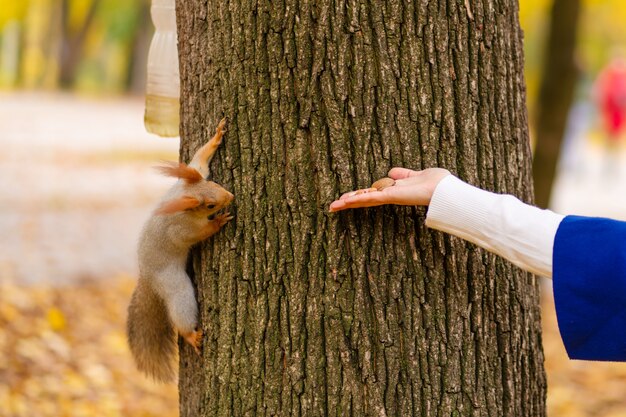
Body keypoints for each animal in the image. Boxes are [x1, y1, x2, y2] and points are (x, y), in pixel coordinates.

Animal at [127, 117, 234, 380]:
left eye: (212, 182)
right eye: (210, 205)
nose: (231, 196)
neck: (184, 199)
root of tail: (147, 279)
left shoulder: (192, 175)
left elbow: (198, 160)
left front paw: (217, 135)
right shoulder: (182, 230)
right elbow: (199, 233)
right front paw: (218, 221)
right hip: (175, 286)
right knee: (181, 309)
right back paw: (192, 336)